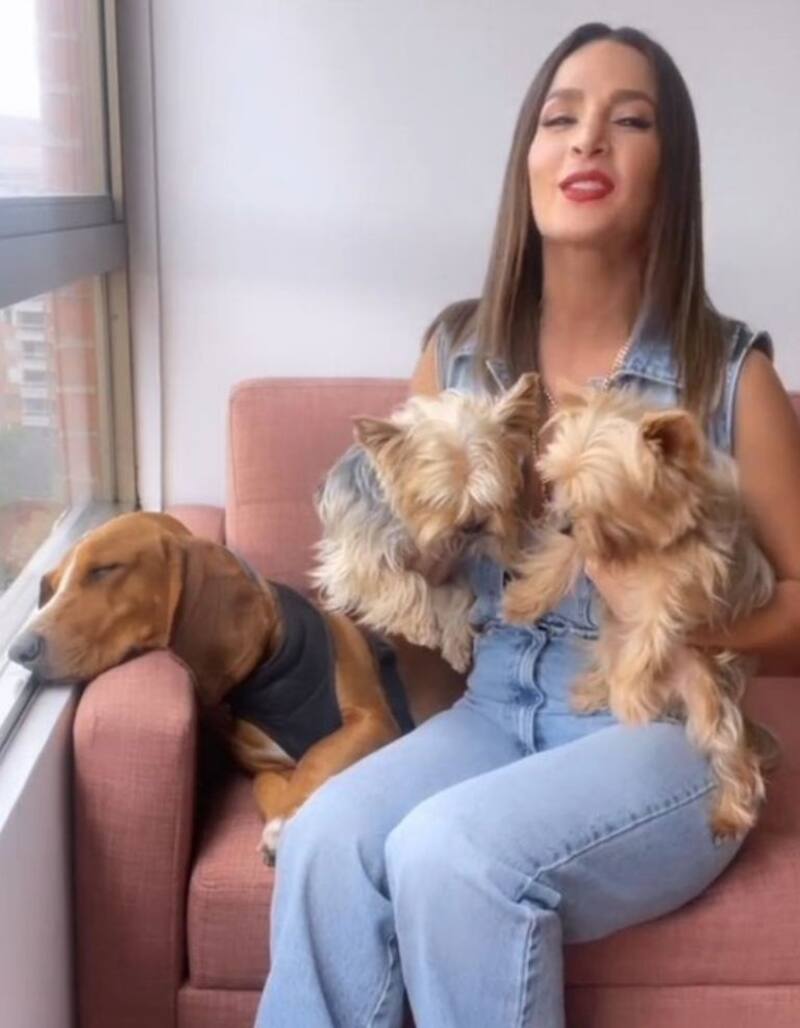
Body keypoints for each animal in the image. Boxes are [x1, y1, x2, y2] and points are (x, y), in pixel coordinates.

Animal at [8, 511, 461, 863]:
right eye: (51, 586)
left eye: (104, 570)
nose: (18, 649)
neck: (270, 676)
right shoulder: (267, 764)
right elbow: (270, 785)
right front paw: (284, 813)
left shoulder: (370, 721)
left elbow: (317, 756)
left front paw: (288, 820)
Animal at [312, 372, 542, 673]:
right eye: (437, 500)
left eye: (493, 495)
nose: (472, 526)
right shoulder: (351, 565)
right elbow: (404, 580)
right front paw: (419, 627)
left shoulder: (454, 565)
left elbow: (459, 595)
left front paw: (456, 643)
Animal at [502, 387, 777, 840]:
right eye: (559, 483)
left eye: (601, 501)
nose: (563, 522)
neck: (640, 544)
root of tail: (673, 694)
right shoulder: (589, 547)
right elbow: (558, 560)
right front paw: (523, 601)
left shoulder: (681, 578)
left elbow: (652, 629)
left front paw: (630, 694)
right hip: (611, 637)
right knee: (608, 654)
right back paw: (594, 690)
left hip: (705, 695)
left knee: (727, 744)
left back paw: (731, 811)